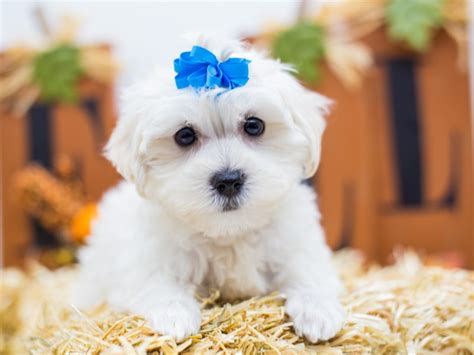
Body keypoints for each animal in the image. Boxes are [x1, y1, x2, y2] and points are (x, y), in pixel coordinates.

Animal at [75, 37, 344, 344]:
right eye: (184, 136)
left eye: (254, 125)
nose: (228, 180)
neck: (229, 232)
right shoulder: (146, 258)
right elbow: (156, 281)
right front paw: (173, 315)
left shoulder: (294, 240)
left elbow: (308, 269)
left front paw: (318, 310)